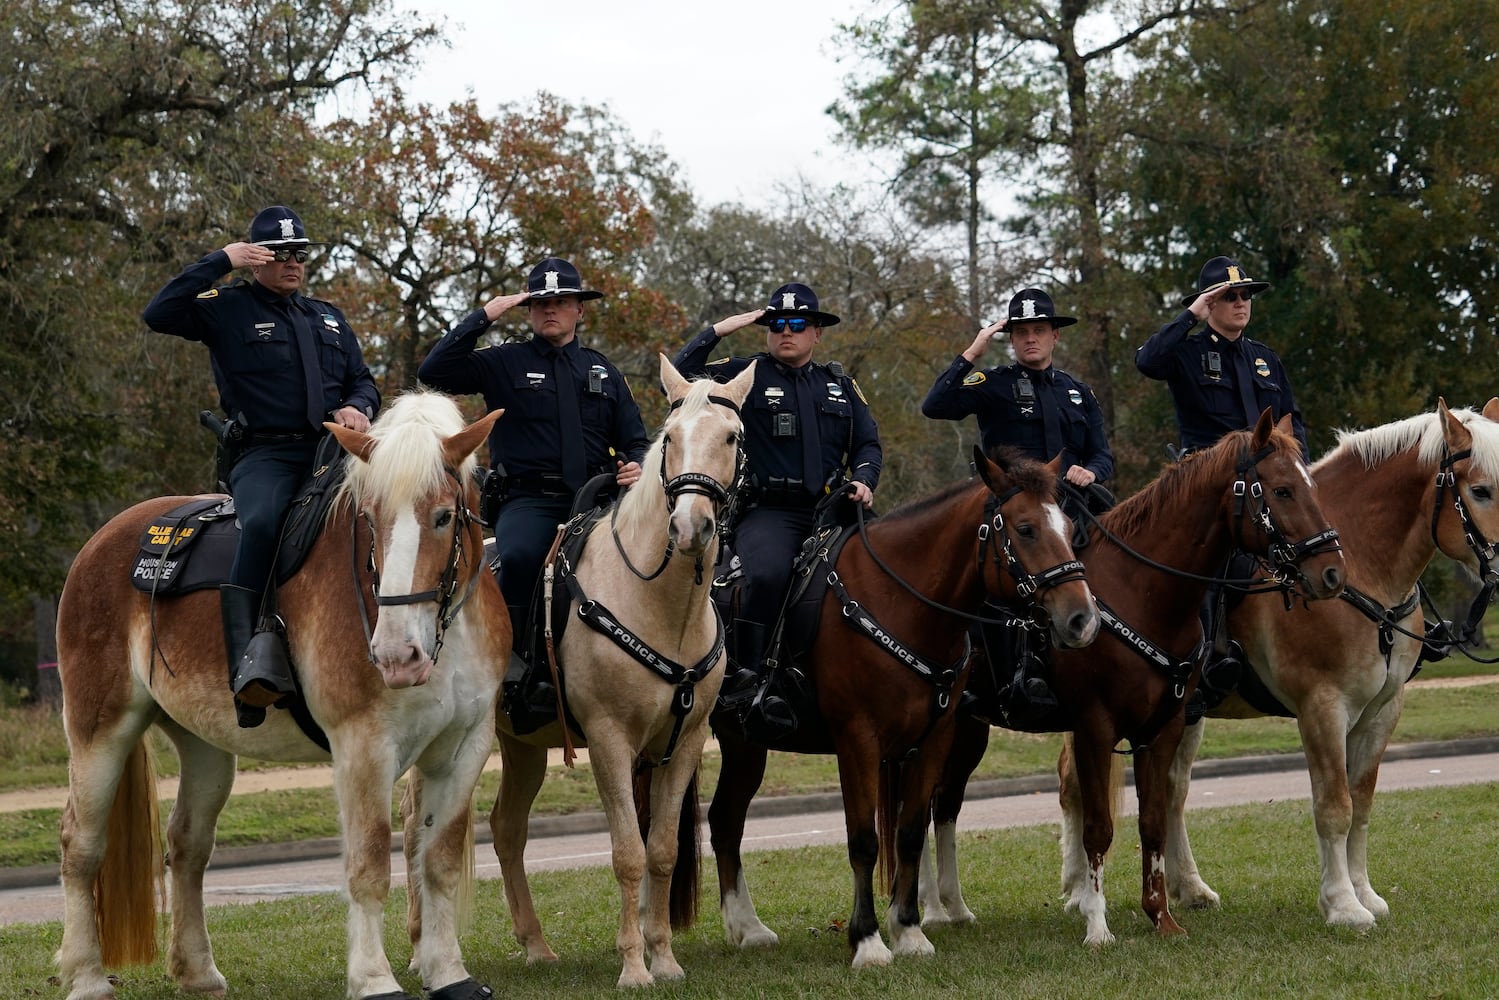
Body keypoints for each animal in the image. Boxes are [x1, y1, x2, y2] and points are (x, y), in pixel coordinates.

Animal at [55, 389, 506, 1000]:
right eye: (370, 518)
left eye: (442, 516)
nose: (395, 655)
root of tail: (99, 543)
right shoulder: (363, 747)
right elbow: (368, 864)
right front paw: (374, 978)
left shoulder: (464, 747)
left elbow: (437, 861)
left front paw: (448, 973)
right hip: (99, 730)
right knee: (81, 845)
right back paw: (85, 976)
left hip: (204, 746)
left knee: (188, 845)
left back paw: (198, 971)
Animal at [707, 446, 1097, 971]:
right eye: (1025, 528)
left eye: (1068, 526)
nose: (1082, 619)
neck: (901, 602)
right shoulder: (858, 742)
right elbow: (865, 839)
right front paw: (868, 941)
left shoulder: (935, 737)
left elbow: (910, 831)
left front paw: (910, 931)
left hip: (744, 745)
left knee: (724, 821)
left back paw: (746, 928)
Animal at [911, 410, 1349, 941]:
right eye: (1283, 490)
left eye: (1311, 486)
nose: (1332, 572)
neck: (1142, 592)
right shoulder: (1094, 728)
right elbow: (1099, 827)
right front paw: (1097, 925)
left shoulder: (1162, 728)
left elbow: (1153, 820)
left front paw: (1161, 915)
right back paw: (931, 910)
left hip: (968, 729)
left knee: (944, 805)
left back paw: (952, 907)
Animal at [1133, 398, 1499, 929]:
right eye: (1482, 490)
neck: (1360, 568)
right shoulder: (1322, 708)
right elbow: (1334, 806)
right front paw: (1343, 904)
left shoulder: (1382, 711)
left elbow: (1360, 803)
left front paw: (1362, 893)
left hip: (1188, 714)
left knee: (1171, 790)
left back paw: (1190, 888)